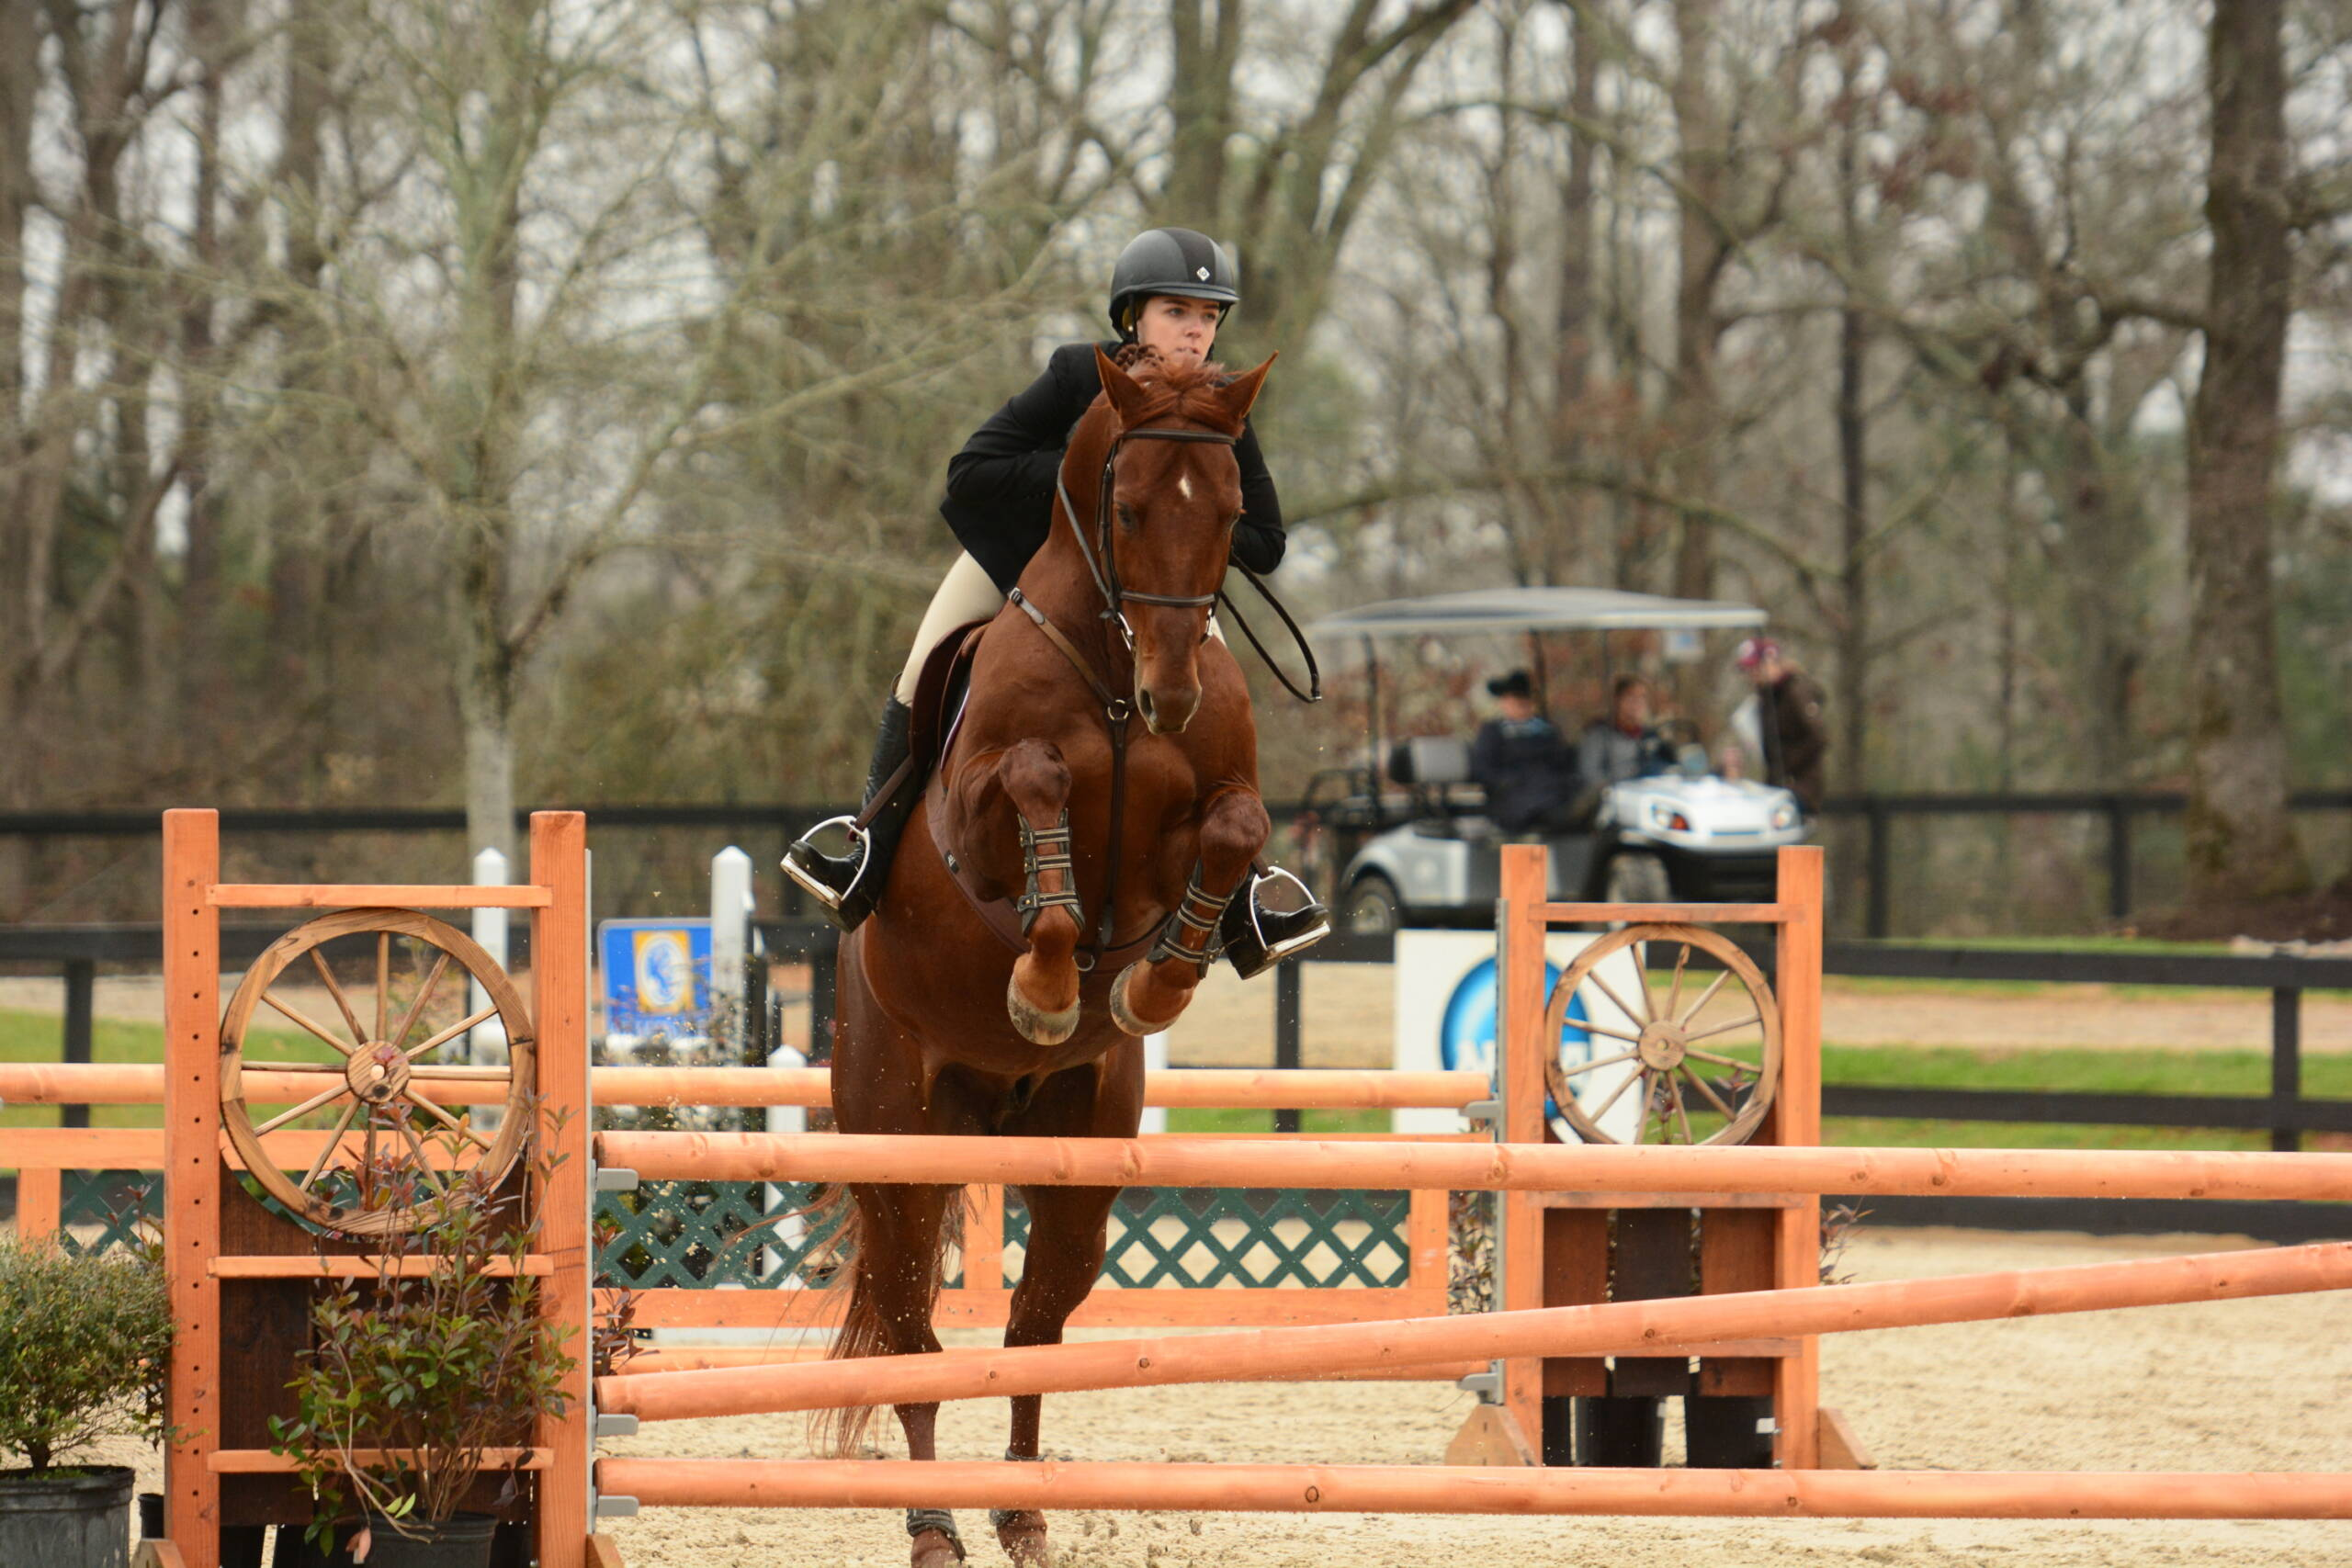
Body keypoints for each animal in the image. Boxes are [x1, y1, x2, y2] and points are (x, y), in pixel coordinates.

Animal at [818, 345, 1279, 1568]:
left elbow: (1232, 832)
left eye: (1232, 515)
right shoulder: (977, 815)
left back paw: (1020, 1513)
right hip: (899, 1146)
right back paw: (934, 1527)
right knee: (910, 1334)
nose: (1171, 695)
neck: (1115, 674)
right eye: (1125, 510)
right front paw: (1040, 987)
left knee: (1032, 1326)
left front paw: (1153, 981)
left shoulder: (1205, 812)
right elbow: (1036, 788)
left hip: (1079, 1154)